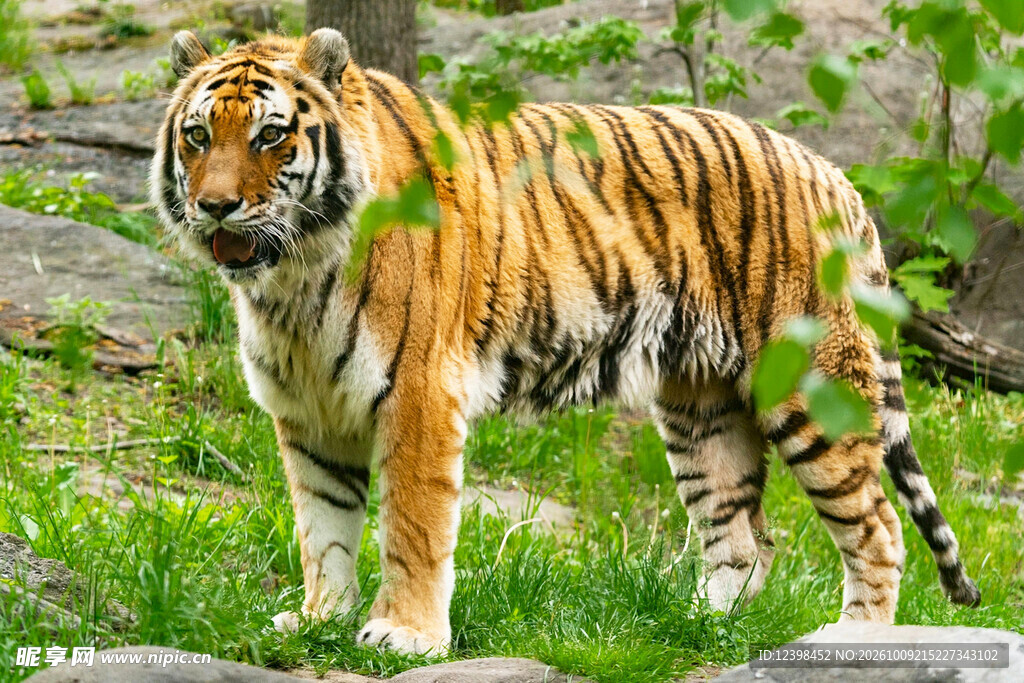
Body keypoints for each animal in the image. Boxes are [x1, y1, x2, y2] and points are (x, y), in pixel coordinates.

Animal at [152, 28, 981, 655]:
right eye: (198, 136)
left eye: (271, 136)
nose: (215, 207)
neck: (295, 273)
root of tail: (833, 173)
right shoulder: (310, 409)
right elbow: (321, 525)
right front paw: (319, 618)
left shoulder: (418, 392)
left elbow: (412, 524)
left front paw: (404, 634)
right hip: (701, 410)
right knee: (744, 538)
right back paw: (695, 626)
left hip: (811, 387)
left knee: (877, 527)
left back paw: (851, 638)